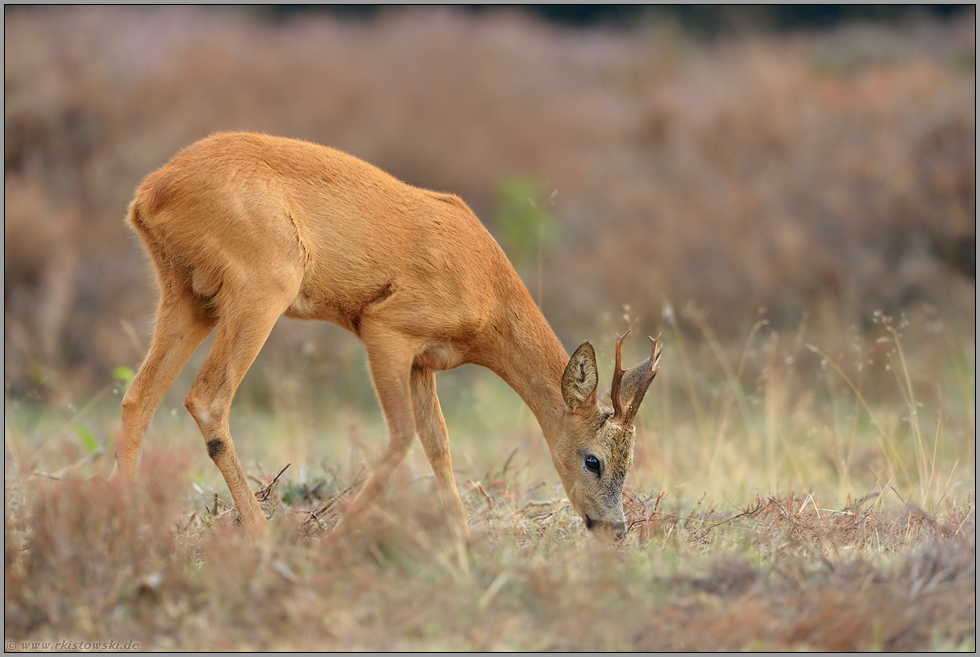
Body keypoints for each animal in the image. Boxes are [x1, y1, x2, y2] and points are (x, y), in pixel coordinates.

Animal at [118, 132, 662, 540]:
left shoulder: (424, 361)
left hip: (188, 296)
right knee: (207, 398)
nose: (614, 530)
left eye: (630, 458)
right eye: (592, 460)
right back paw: (262, 536)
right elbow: (402, 437)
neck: (488, 288)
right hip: (263, 285)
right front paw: (336, 538)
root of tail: (149, 193)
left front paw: (463, 541)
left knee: (138, 397)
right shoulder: (385, 328)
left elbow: (438, 442)